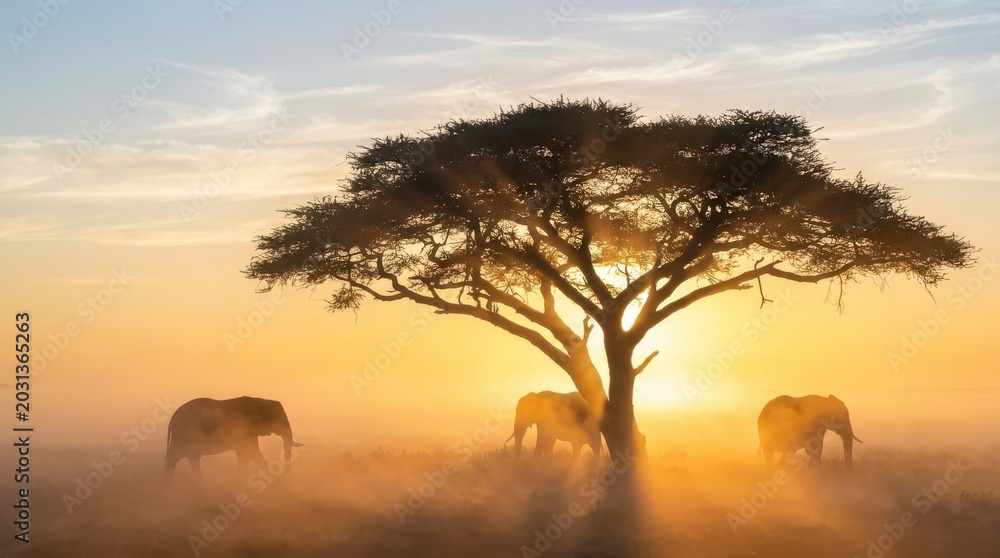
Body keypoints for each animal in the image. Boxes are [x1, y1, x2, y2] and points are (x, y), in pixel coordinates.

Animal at [164, 396, 302, 478]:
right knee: (174, 458)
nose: (288, 475)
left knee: (193, 458)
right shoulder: (244, 428)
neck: (260, 400)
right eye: (277, 418)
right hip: (183, 435)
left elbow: (251, 454)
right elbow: (249, 453)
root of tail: (172, 419)